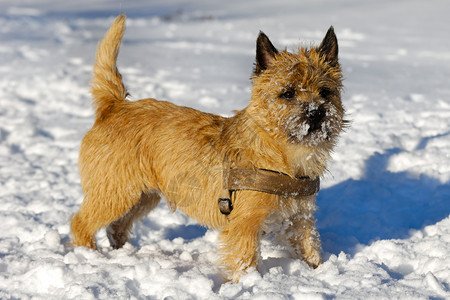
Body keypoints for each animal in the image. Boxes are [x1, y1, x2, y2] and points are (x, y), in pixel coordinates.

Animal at [70, 14, 346, 282]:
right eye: (287, 93)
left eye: (325, 92)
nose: (316, 112)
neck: (285, 156)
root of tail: (114, 105)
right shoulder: (244, 224)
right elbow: (245, 260)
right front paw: (248, 284)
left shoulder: (300, 219)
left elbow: (310, 248)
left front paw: (317, 271)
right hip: (115, 192)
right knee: (80, 222)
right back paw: (89, 254)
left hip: (142, 196)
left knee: (116, 227)